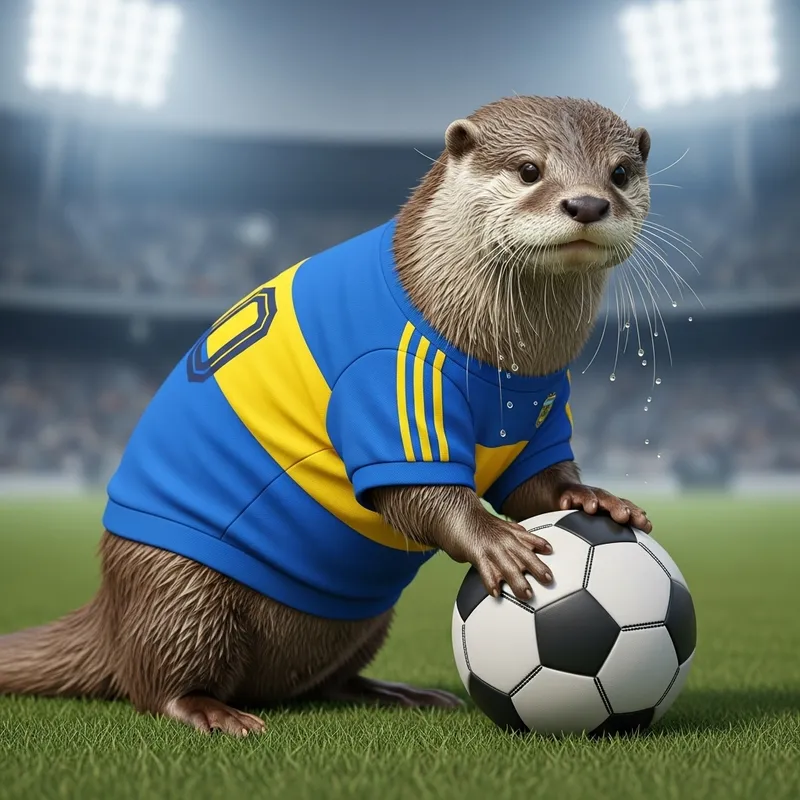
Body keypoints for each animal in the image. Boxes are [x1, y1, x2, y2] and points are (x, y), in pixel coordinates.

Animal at [0, 96, 653, 736]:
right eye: (528, 169)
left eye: (620, 173)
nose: (588, 203)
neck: (500, 357)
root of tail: (110, 603)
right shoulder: (384, 387)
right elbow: (422, 496)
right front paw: (496, 542)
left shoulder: (544, 414)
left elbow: (538, 486)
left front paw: (597, 500)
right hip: (179, 587)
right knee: (156, 681)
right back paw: (212, 712)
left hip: (363, 620)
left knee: (325, 680)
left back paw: (395, 693)